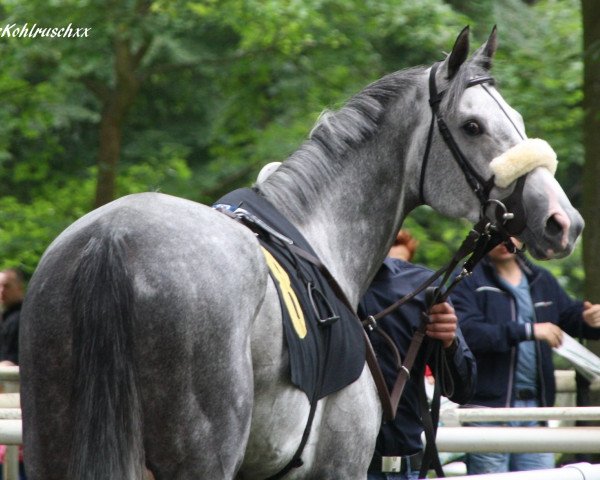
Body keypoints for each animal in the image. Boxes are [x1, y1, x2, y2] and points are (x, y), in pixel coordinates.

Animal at [21, 27, 584, 480]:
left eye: (516, 118)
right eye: (472, 125)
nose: (563, 222)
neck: (320, 237)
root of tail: (111, 239)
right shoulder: (337, 465)